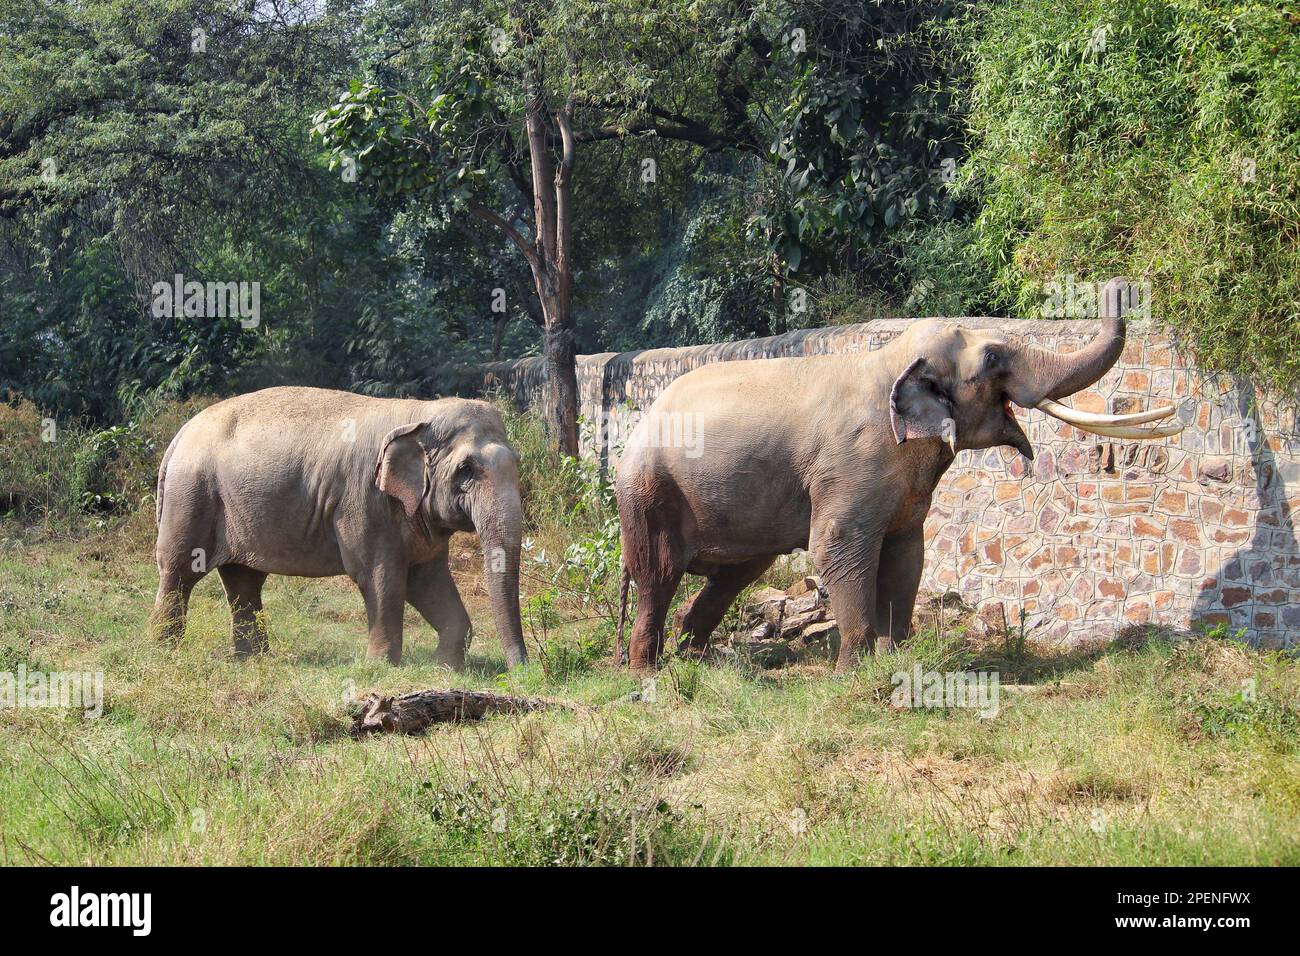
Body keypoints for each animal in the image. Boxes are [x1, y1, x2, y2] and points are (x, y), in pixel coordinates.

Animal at [147, 385, 522, 671]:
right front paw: (381, 667)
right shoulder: (364, 502)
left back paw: (251, 660)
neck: (420, 412)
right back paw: (164, 654)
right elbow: (380, 577)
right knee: (180, 571)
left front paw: (444, 667)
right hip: (192, 495)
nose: (521, 670)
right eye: (466, 470)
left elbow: (427, 580)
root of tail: (179, 436)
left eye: (516, 463)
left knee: (244, 580)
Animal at [613, 314, 1185, 671]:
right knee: (659, 575)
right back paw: (648, 673)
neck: (889, 361)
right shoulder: (851, 464)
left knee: (738, 572)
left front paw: (895, 656)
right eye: (993, 357)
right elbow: (837, 547)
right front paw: (855, 671)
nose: (1118, 285)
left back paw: (694, 656)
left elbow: (909, 552)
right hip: (648, 494)